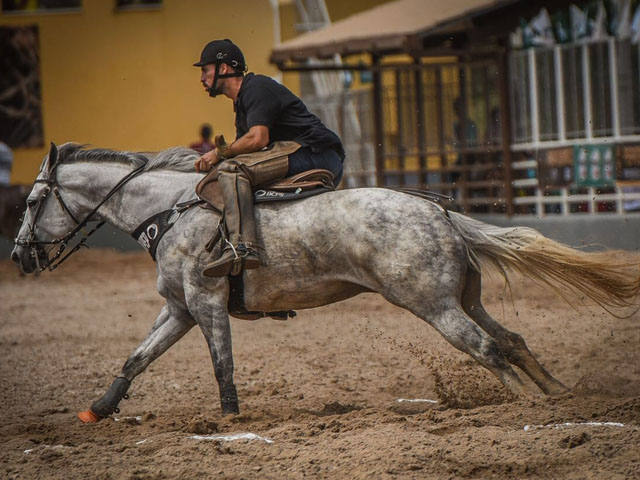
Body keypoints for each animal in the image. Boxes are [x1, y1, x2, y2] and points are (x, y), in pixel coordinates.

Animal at [11, 142, 640, 420]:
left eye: (35, 200)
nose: (19, 256)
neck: (170, 210)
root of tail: (439, 212)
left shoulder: (205, 303)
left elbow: (222, 364)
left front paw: (230, 417)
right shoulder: (180, 309)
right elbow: (136, 358)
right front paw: (99, 408)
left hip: (434, 307)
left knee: (488, 349)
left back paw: (526, 407)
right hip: (462, 298)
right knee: (511, 341)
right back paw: (558, 394)